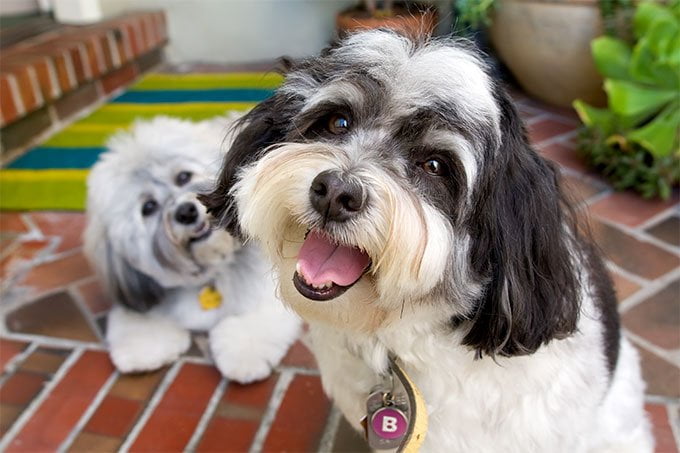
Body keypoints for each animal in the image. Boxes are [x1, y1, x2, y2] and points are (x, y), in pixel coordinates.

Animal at [83, 115, 300, 382]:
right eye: (148, 207)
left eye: (183, 177)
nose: (185, 212)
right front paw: (141, 352)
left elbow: (251, 322)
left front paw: (243, 357)